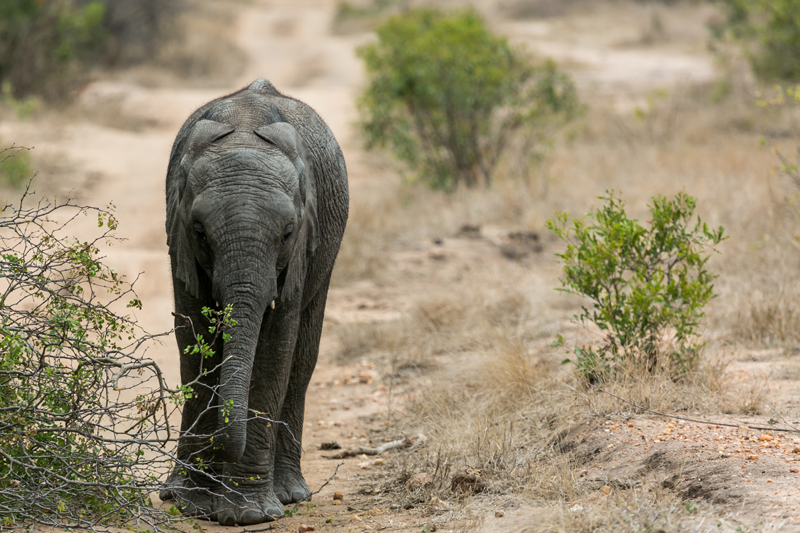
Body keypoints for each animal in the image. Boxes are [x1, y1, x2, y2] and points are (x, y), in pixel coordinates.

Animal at [160, 79, 348, 525]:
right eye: (199, 231)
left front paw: (249, 516)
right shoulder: (180, 243)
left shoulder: (303, 248)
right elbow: (195, 342)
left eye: (287, 233)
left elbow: (277, 347)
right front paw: (196, 506)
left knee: (302, 360)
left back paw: (291, 494)